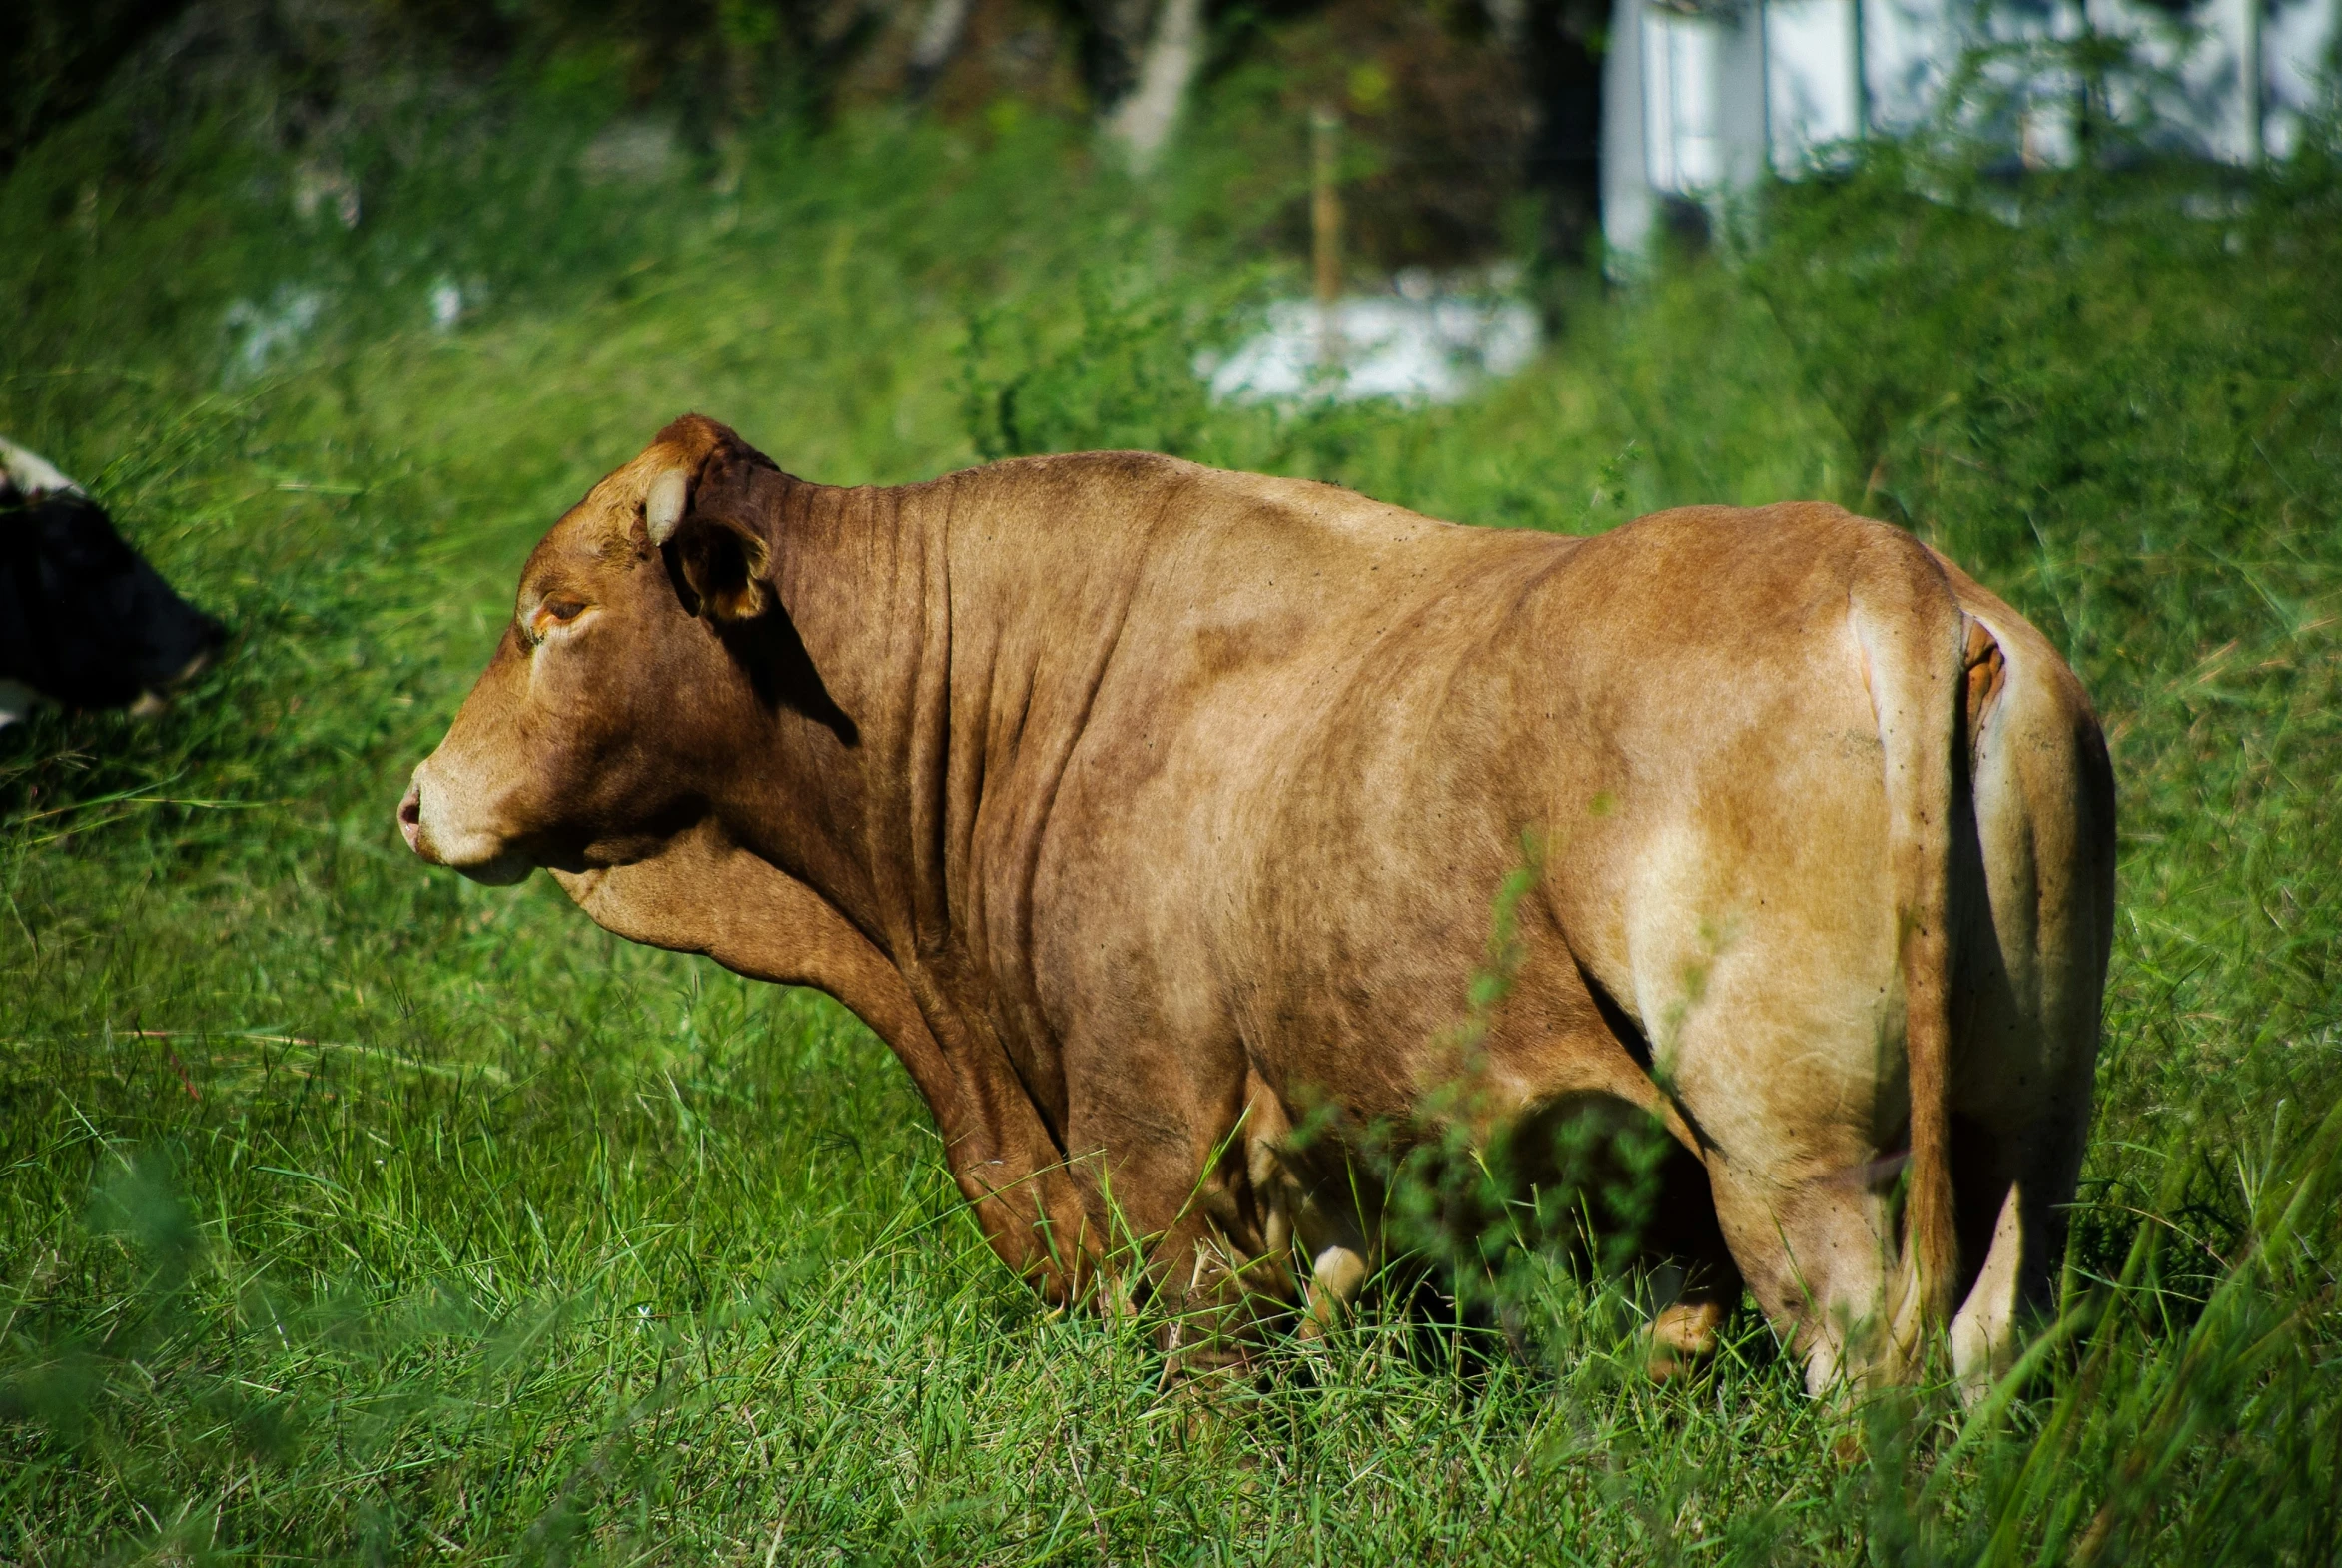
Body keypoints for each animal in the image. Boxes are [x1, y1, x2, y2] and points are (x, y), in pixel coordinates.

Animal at [392, 411, 2116, 1394]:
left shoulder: (1155, 1139)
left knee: (1867, 1358)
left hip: (1789, 1161)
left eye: (554, 613)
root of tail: (1889, 567)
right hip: (2024, 1140)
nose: (418, 796)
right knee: (1981, 1339)